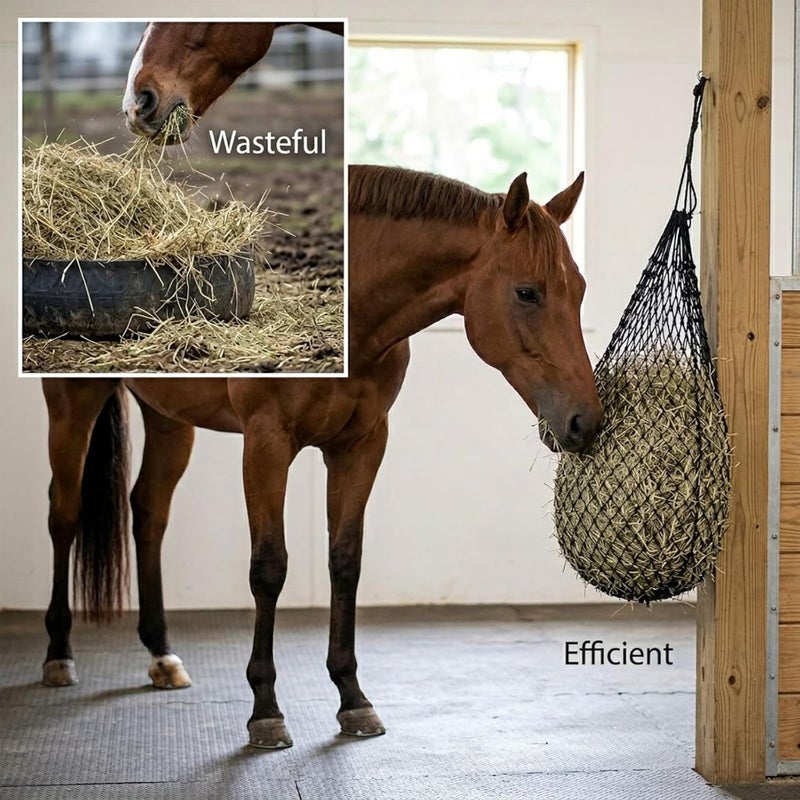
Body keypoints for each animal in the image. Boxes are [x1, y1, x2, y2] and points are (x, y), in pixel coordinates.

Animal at [40, 22, 603, 750]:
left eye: (578, 291)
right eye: (528, 293)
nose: (585, 421)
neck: (359, 320)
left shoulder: (360, 445)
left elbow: (344, 560)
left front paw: (352, 697)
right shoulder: (266, 444)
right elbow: (269, 566)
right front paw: (266, 710)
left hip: (169, 417)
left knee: (148, 514)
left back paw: (162, 655)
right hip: (72, 404)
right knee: (64, 513)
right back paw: (58, 656)